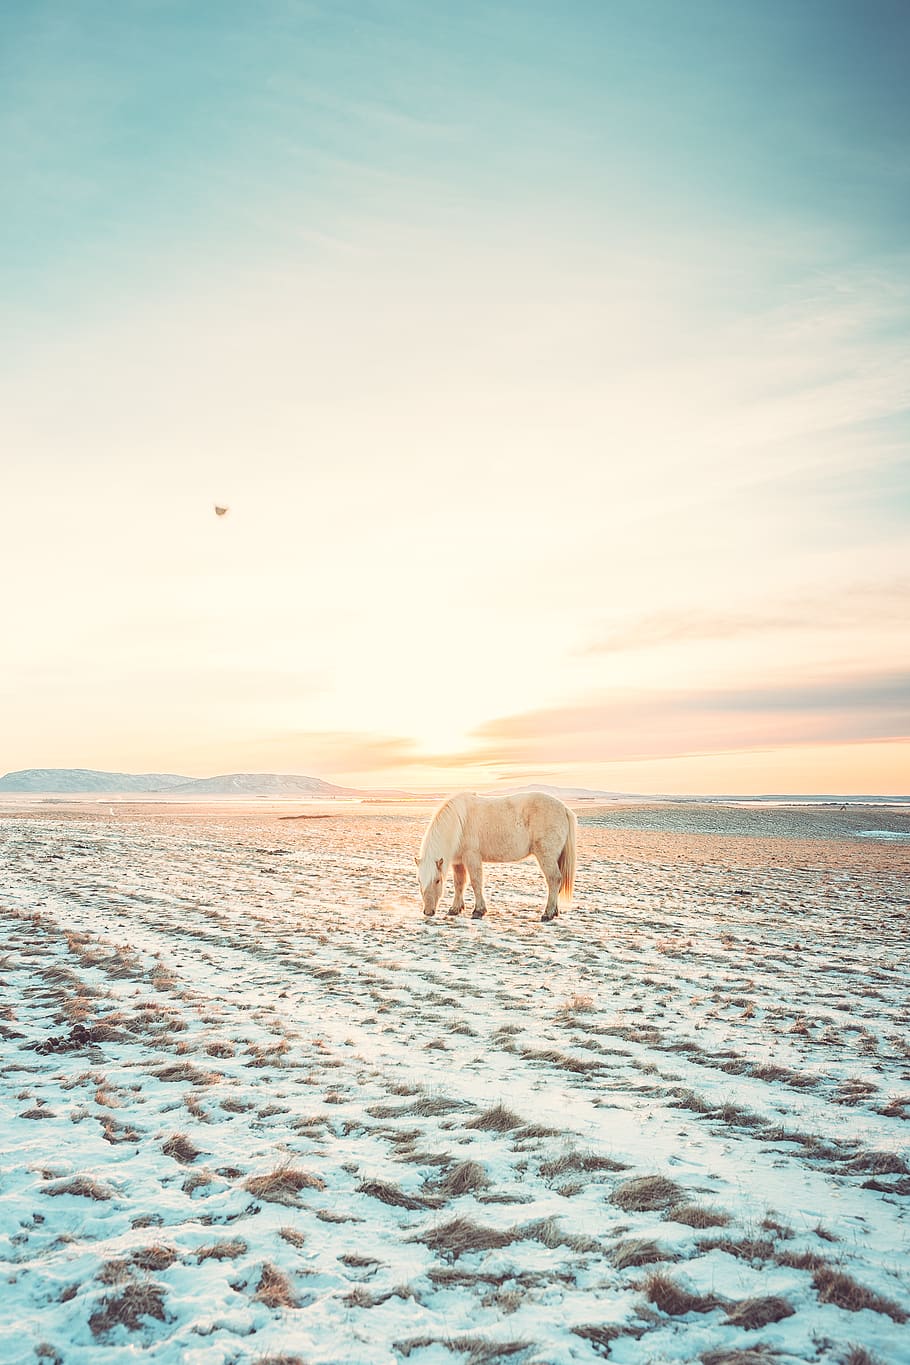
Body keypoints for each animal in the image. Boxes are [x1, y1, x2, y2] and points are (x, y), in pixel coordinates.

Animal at [416, 792, 577, 923]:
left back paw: (547, 914)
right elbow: (459, 884)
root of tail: (564, 809)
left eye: (437, 880)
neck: (460, 823)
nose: (428, 912)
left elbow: (476, 882)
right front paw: (455, 909)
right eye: (419, 881)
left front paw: (478, 911)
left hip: (546, 856)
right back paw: (554, 912)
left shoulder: (472, 857)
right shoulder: (458, 861)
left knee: (554, 879)